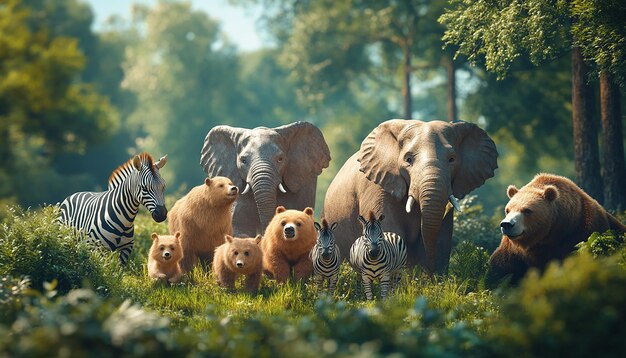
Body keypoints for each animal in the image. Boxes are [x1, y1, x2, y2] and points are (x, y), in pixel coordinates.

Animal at [488, 173, 624, 286]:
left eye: (527, 210)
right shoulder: (514, 252)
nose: (506, 224)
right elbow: (499, 270)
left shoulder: (581, 234)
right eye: (508, 210)